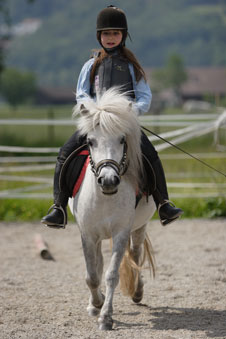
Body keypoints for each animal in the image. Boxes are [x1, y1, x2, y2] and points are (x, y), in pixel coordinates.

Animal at [69, 88, 156, 332]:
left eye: (122, 139)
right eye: (90, 141)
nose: (108, 180)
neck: (105, 197)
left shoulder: (120, 233)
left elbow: (111, 275)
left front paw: (106, 317)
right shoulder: (88, 234)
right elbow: (92, 275)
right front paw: (96, 304)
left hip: (139, 226)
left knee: (135, 254)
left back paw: (137, 291)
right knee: (98, 264)